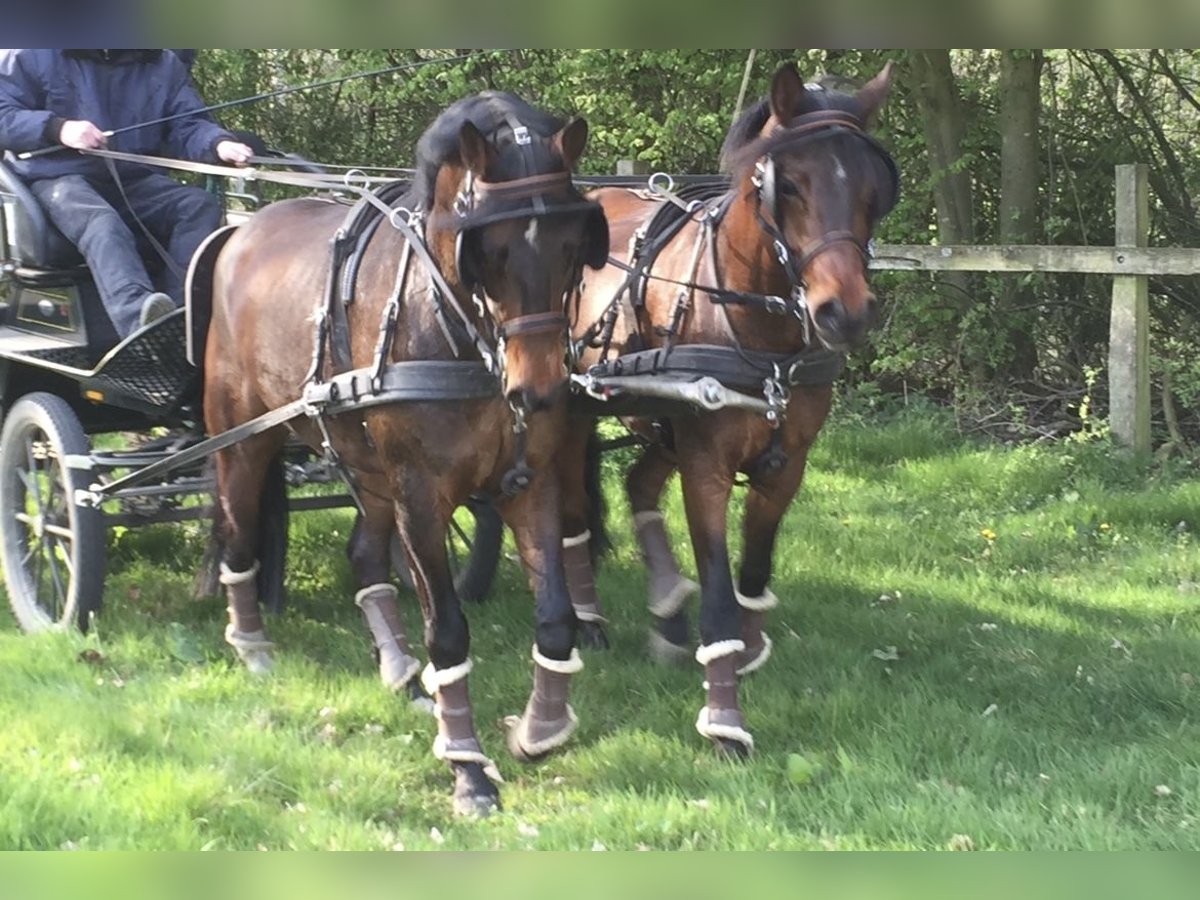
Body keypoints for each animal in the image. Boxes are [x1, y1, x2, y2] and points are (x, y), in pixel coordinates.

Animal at [202, 93, 609, 816]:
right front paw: (468, 768)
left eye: (571, 245)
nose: (538, 389)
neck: (453, 329)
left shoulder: (527, 482)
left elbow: (556, 616)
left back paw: (401, 674)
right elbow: (447, 630)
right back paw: (251, 643)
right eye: (490, 248)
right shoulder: (422, 497)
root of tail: (241, 231)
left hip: (364, 465)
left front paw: (540, 729)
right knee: (237, 532)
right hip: (245, 441)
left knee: (365, 554)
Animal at [556, 60, 897, 758]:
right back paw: (588, 618)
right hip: (577, 413)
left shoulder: (786, 463)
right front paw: (724, 718)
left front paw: (748, 648)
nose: (845, 313)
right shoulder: (707, 463)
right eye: (787, 185)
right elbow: (717, 588)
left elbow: (756, 568)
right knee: (572, 512)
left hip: (662, 420)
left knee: (638, 484)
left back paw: (665, 608)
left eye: (877, 189)